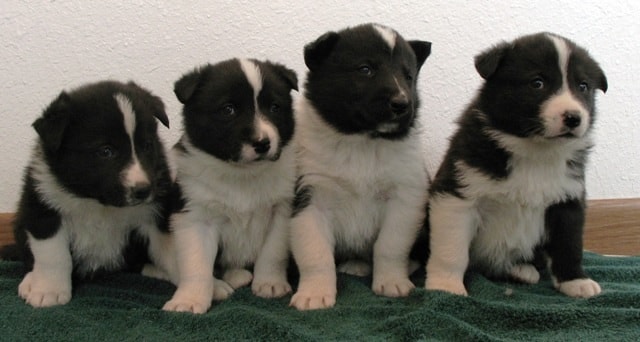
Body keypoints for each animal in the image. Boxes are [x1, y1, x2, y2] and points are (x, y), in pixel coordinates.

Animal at [3, 81, 178, 308]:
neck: (98, 202)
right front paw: (48, 291)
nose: (143, 190)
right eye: (105, 151)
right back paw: (30, 281)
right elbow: (53, 255)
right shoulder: (44, 211)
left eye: (148, 146)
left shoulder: (155, 215)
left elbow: (171, 251)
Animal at [162, 58, 298, 312]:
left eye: (274, 107)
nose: (263, 143)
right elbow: (196, 264)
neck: (241, 173)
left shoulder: (281, 210)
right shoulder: (195, 215)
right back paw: (218, 287)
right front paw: (189, 301)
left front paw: (270, 284)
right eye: (228, 109)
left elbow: (273, 252)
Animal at [288, 24, 430, 310]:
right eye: (365, 69)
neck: (362, 142)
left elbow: (390, 245)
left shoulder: (405, 197)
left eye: (408, 76)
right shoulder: (309, 197)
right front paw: (314, 294)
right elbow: (315, 252)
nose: (402, 103)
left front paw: (392, 283)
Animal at [422, 32, 608, 300]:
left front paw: (576, 281)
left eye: (582, 86)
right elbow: (452, 249)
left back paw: (522, 270)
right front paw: (446, 287)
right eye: (537, 83)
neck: (534, 150)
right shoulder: (458, 195)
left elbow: (569, 244)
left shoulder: (568, 200)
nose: (574, 118)